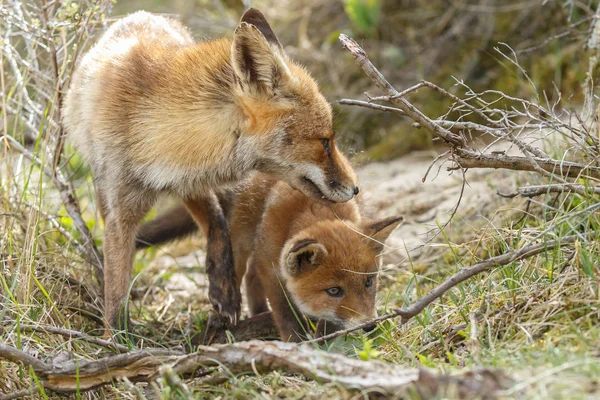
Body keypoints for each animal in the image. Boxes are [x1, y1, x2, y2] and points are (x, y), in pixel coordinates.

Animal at [62, 8, 358, 332]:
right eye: (325, 142)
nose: (356, 188)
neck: (151, 130)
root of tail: (145, 13)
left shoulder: (190, 178)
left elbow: (218, 223)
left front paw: (224, 290)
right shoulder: (122, 211)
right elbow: (116, 290)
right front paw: (116, 336)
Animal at [135, 174, 398, 340]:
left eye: (368, 282)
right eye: (334, 290)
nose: (370, 326)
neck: (313, 209)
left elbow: (324, 316)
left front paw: (325, 336)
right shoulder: (271, 268)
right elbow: (286, 313)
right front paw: (297, 343)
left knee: (251, 278)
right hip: (240, 242)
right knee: (241, 275)